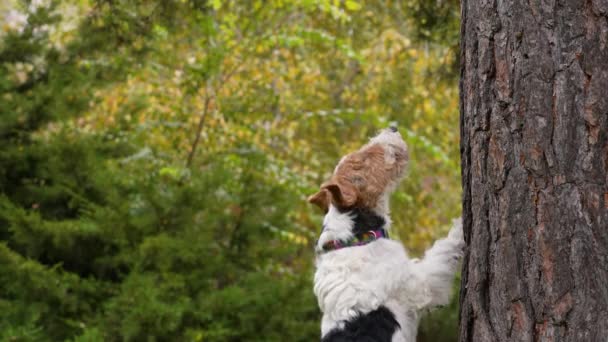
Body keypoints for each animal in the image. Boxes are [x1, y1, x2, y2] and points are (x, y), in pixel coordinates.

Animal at [308, 127, 466, 340]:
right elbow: (442, 250)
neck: (356, 238)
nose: (392, 128)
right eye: (363, 160)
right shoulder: (421, 284)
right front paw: (461, 224)